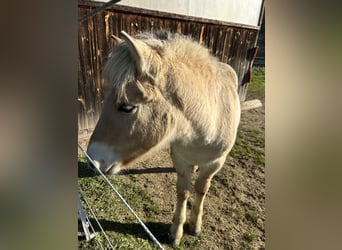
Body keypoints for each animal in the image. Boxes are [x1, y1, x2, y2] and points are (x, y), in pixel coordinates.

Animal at [86, 30, 240, 246]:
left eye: (127, 107)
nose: (91, 160)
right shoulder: (180, 159)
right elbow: (183, 191)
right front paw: (176, 232)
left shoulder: (216, 163)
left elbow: (201, 189)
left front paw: (195, 225)